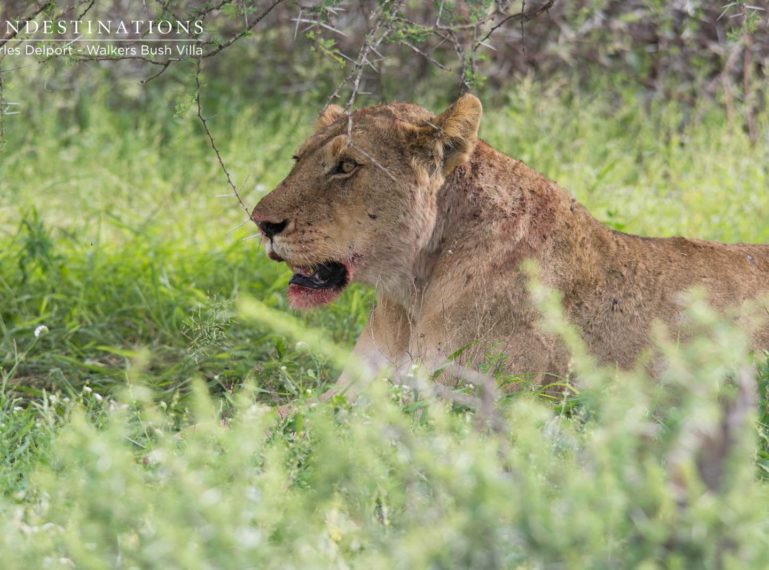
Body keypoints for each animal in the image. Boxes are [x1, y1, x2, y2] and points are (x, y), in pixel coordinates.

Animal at [252, 94, 768, 394]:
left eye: (346, 167)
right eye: (298, 159)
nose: (261, 223)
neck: (411, 292)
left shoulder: (472, 404)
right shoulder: (349, 390)